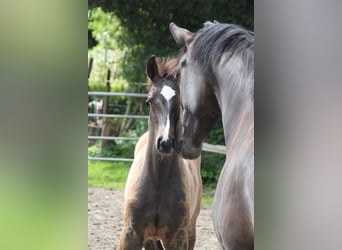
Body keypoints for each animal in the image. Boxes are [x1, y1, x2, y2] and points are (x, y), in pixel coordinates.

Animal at [119, 56, 203, 250]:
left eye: (181, 103)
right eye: (149, 101)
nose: (165, 142)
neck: (158, 180)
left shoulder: (178, 237)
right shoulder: (131, 234)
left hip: (190, 230)